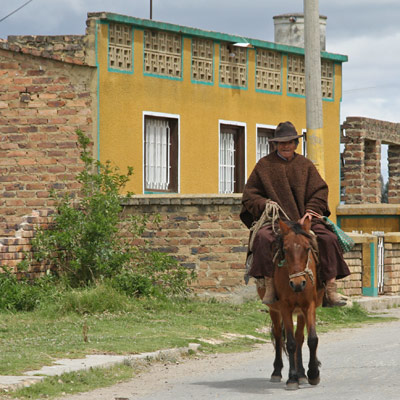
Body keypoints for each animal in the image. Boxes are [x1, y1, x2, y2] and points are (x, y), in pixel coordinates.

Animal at [266, 219, 324, 390]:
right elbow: (290, 343)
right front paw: (292, 378)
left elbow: (312, 339)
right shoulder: (284, 307)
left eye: (307, 248)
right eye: (285, 249)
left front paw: (313, 374)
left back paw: (302, 374)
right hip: (273, 310)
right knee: (278, 336)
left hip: (300, 311)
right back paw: (277, 372)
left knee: (300, 338)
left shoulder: (309, 305)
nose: (298, 284)